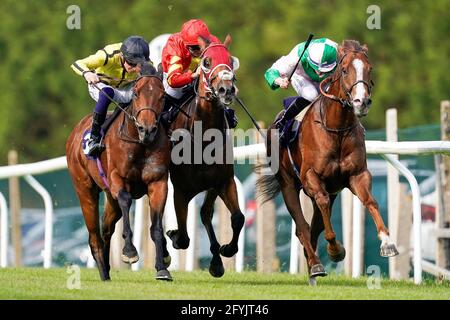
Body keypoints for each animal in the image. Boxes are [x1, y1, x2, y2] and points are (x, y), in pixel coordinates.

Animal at [65, 74, 172, 280]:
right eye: (136, 93)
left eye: (163, 95)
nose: (147, 129)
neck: (139, 143)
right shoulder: (117, 179)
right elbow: (125, 199)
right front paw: (129, 251)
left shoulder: (158, 182)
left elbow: (156, 226)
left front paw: (162, 267)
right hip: (85, 190)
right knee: (94, 236)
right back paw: (103, 273)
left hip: (109, 198)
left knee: (106, 229)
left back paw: (107, 268)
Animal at [165, 33, 244, 276]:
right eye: (207, 62)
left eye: (230, 60)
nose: (226, 90)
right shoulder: (181, 190)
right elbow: (183, 237)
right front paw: (172, 236)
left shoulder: (223, 181)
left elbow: (237, 217)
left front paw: (226, 250)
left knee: (206, 213)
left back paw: (216, 260)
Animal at [258, 39, 400, 284]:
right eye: (344, 70)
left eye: (369, 69)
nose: (361, 102)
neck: (336, 129)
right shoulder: (311, 178)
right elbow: (322, 214)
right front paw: (335, 250)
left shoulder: (357, 175)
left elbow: (370, 201)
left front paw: (387, 242)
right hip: (288, 184)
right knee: (302, 227)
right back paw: (315, 265)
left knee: (313, 228)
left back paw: (312, 268)